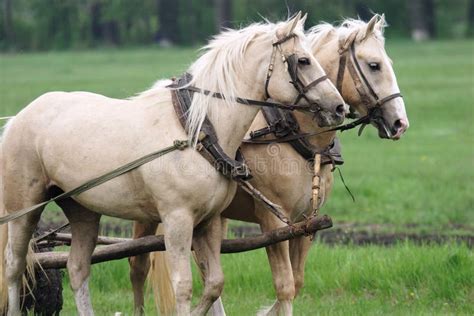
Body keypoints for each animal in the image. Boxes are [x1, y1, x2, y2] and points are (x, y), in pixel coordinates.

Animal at [0, 13, 348, 314]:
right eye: (302, 60)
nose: (339, 107)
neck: (199, 131)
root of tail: (19, 117)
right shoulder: (177, 219)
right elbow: (183, 285)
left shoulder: (208, 222)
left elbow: (215, 283)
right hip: (25, 208)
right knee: (15, 266)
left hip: (82, 209)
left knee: (77, 268)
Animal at [132, 14, 408, 316]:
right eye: (374, 65)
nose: (400, 123)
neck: (292, 135)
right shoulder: (272, 221)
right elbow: (285, 286)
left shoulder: (305, 223)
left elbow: (296, 282)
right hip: (152, 215)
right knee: (139, 266)